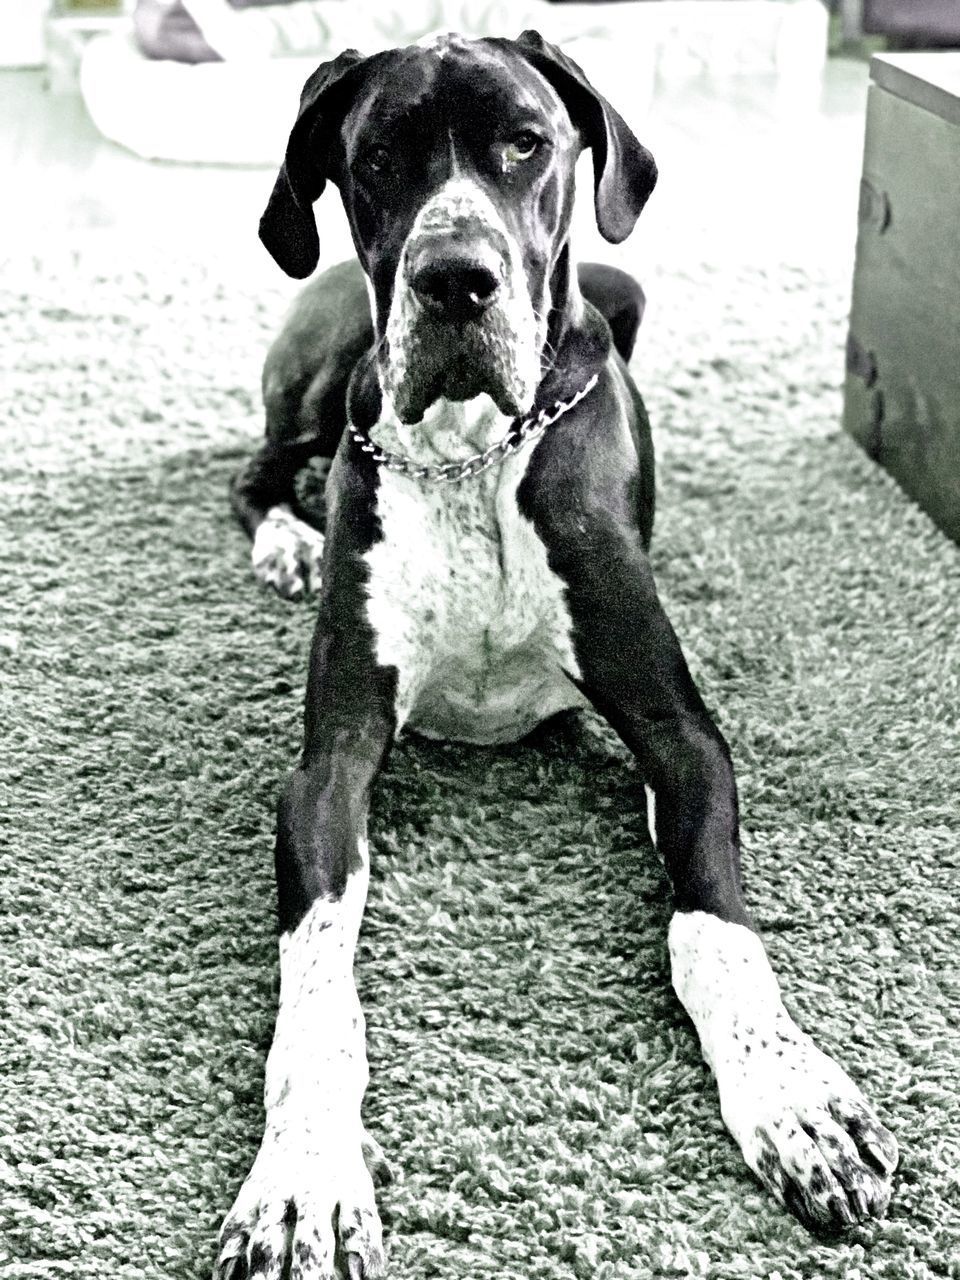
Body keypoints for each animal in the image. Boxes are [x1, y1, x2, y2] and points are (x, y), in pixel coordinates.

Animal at [213, 30, 901, 1280]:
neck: (474, 448)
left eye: (527, 143)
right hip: (327, 377)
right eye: (376, 156)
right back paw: (287, 534)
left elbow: (712, 932)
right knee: (257, 464)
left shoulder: (682, 735)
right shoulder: (330, 765)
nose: (454, 279)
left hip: (626, 291)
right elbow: (321, 984)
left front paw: (796, 1104)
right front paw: (302, 1178)